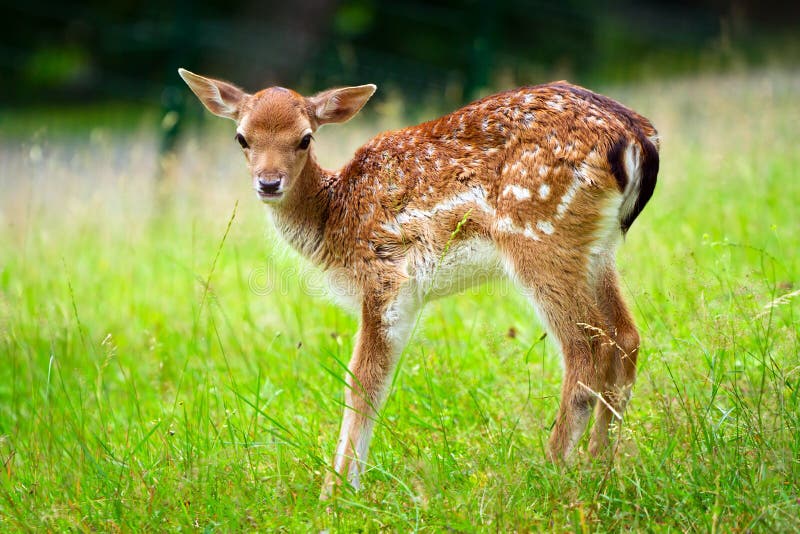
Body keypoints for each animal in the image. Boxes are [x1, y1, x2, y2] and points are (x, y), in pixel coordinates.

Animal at [178, 69, 660, 500]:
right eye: (242, 138)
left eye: (305, 138)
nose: (269, 183)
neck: (335, 219)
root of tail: (637, 138)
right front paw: (344, 486)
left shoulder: (387, 278)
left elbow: (363, 383)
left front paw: (337, 493)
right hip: (596, 249)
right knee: (625, 336)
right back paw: (600, 466)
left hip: (539, 237)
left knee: (586, 345)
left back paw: (552, 469)